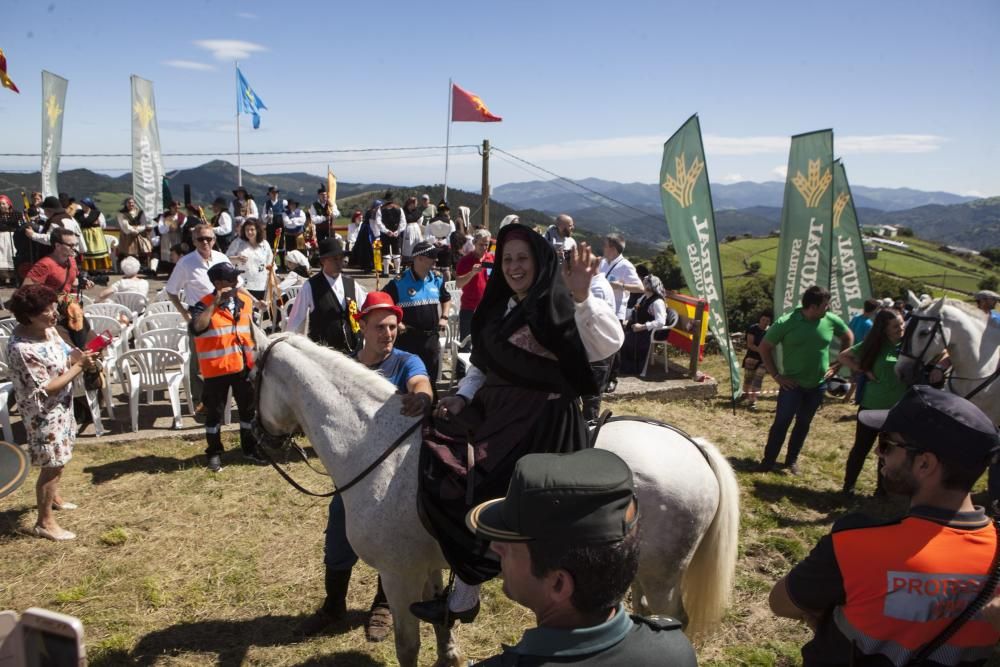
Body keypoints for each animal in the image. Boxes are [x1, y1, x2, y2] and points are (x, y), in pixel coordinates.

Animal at [256, 334, 744, 667]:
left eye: (248, 377)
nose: (260, 440)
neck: (379, 447)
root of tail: (692, 446)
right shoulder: (428, 564)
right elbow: (440, 620)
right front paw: (449, 654)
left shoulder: (398, 575)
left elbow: (407, 645)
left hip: (663, 577)